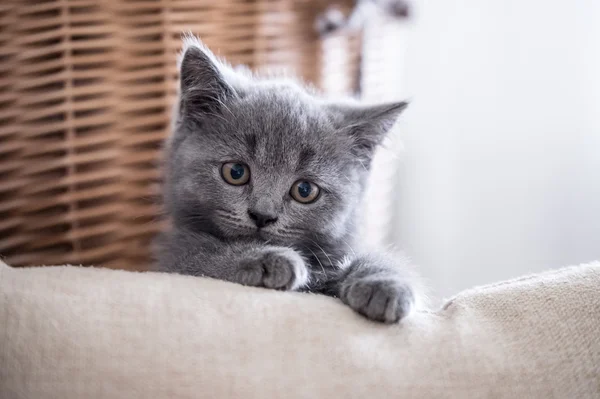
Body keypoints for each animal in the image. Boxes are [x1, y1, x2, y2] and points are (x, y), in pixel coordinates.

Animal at [155, 36, 418, 324]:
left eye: (304, 190)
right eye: (235, 172)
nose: (262, 215)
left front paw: (384, 283)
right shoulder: (171, 258)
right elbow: (203, 254)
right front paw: (266, 258)